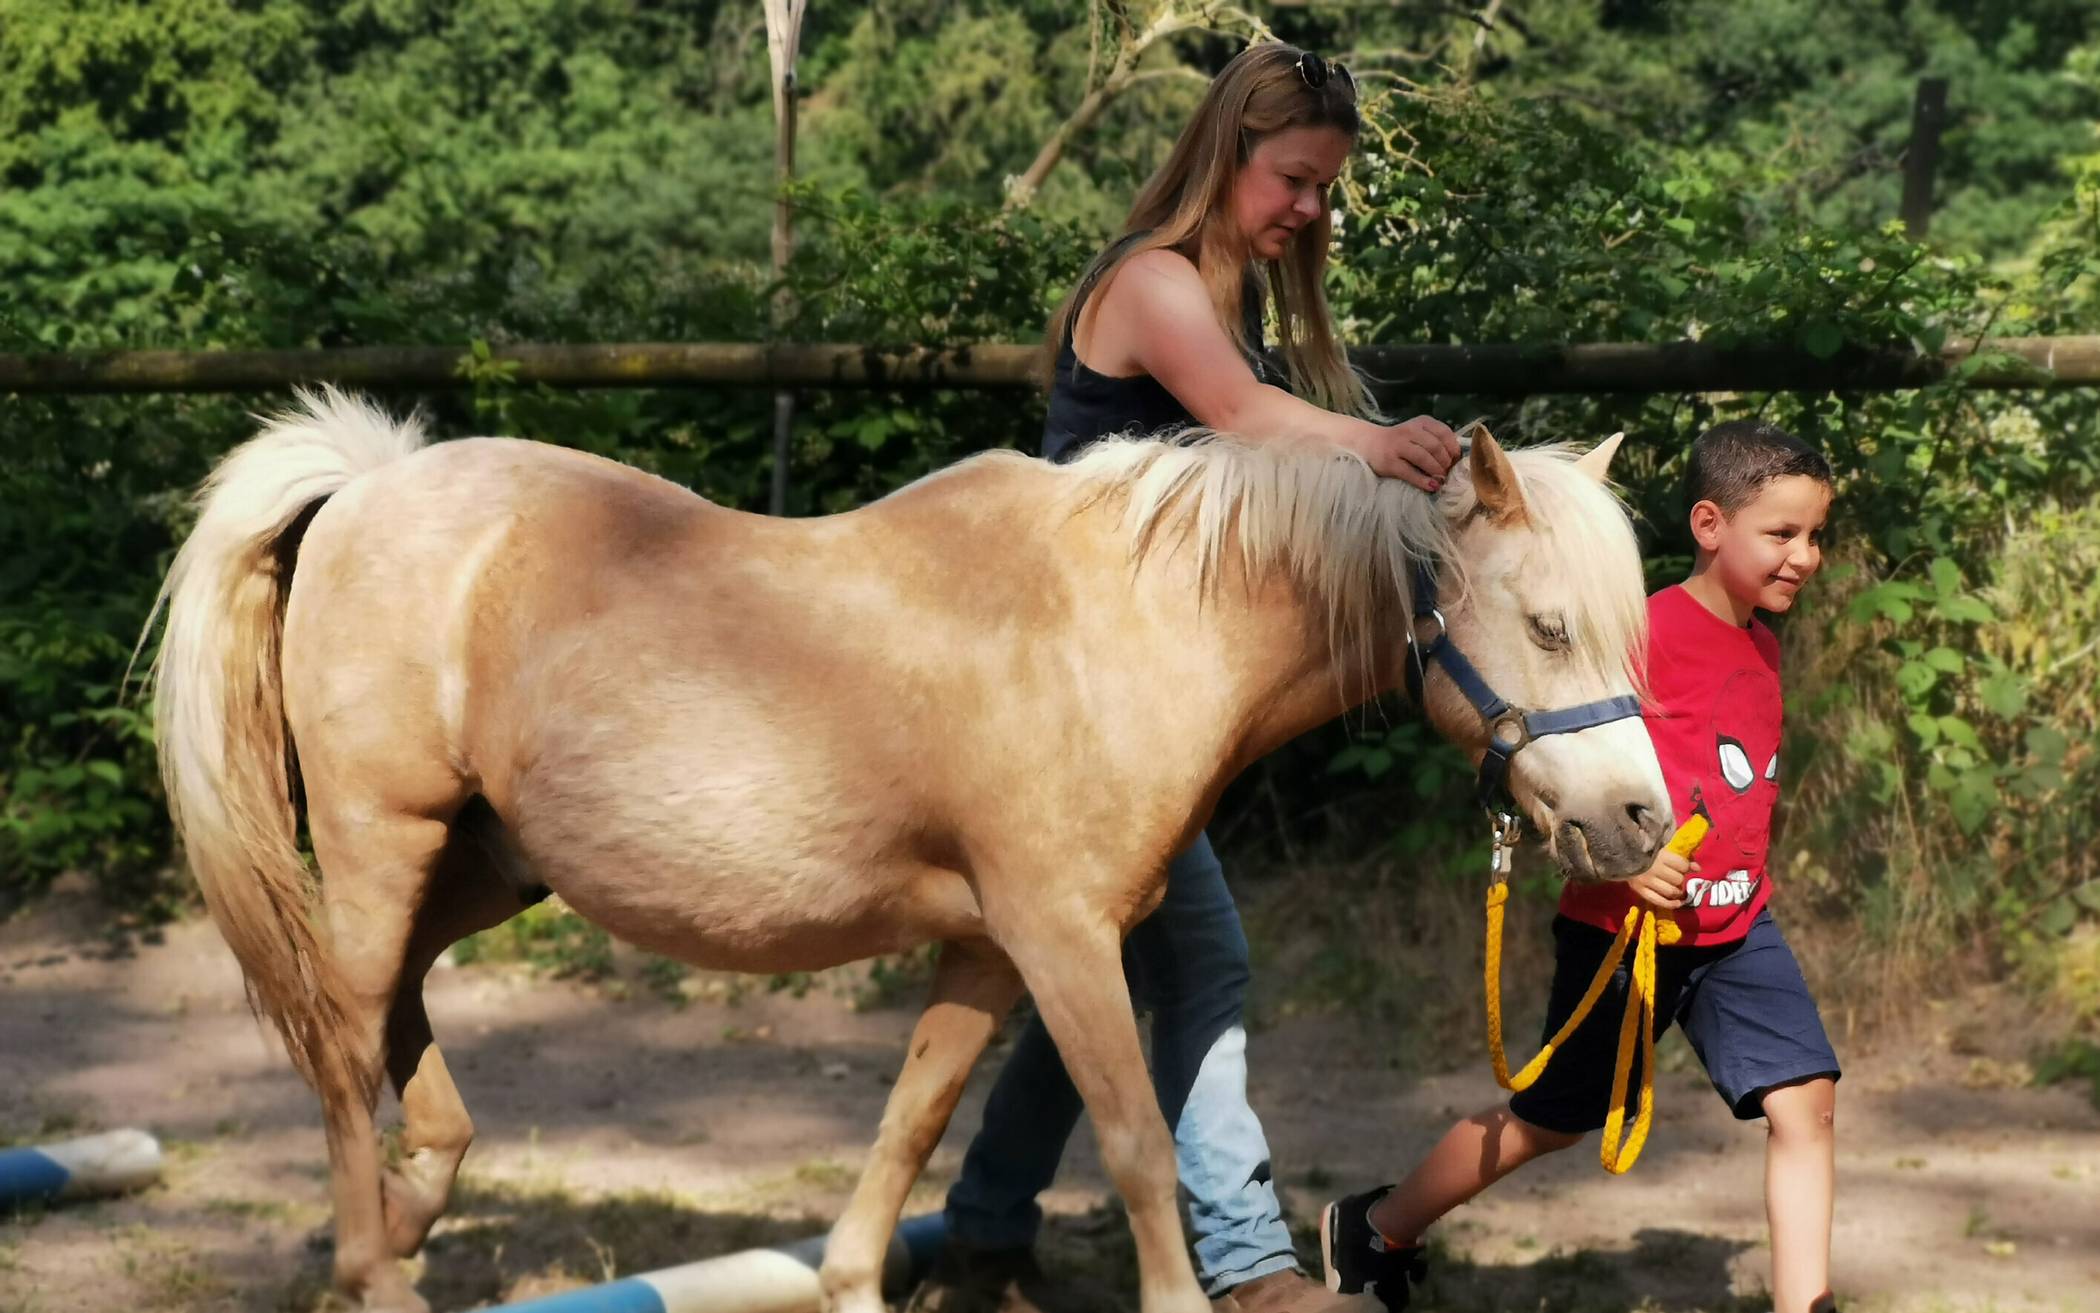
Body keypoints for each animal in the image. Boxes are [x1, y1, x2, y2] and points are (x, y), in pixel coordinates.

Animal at [139, 390, 1663, 1310]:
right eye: (1547, 623)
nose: (1640, 820)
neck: (1128, 623)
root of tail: (367, 486)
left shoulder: (985, 949)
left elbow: (912, 1122)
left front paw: (858, 1279)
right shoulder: (1062, 940)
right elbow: (1132, 1141)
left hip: (487, 865)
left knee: (387, 1019)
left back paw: (407, 1213)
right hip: (381, 838)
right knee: (343, 1038)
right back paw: (374, 1260)